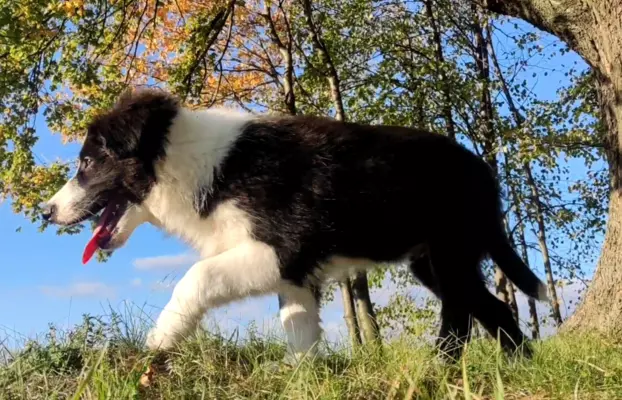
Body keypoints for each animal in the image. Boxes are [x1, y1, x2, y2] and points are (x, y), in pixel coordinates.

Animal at [44, 86, 548, 374]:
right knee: (491, 308)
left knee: (461, 315)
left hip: (449, 249)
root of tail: (485, 172)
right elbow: (299, 323)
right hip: (431, 260)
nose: (47, 213)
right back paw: (520, 370)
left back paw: (440, 370)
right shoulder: (295, 273)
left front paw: (161, 339)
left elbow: (198, 276)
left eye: (87, 164)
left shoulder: (287, 248)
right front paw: (301, 375)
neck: (197, 164)